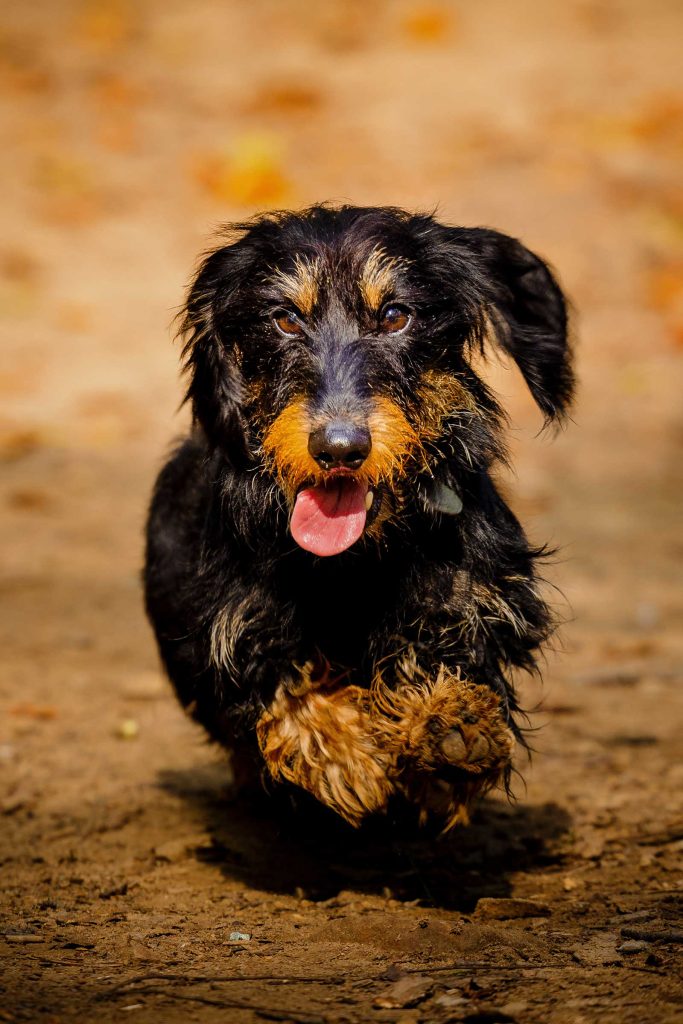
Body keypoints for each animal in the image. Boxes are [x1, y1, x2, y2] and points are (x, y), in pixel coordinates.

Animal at [144, 205, 573, 831]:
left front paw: (452, 724)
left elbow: (447, 651)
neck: (354, 559)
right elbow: (284, 687)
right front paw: (348, 756)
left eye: (395, 316)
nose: (339, 448)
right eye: (285, 319)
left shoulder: (476, 598)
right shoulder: (235, 628)